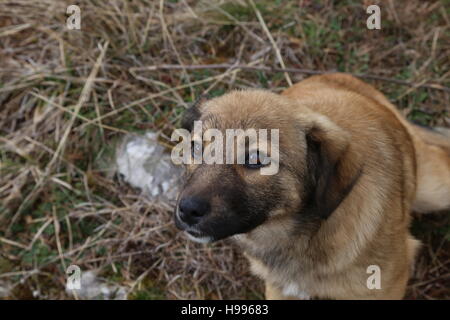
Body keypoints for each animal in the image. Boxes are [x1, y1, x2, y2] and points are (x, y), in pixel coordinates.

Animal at [172, 73, 450, 300]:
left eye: (255, 159)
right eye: (195, 147)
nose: (186, 211)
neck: (300, 238)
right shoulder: (279, 290)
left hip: (434, 190)